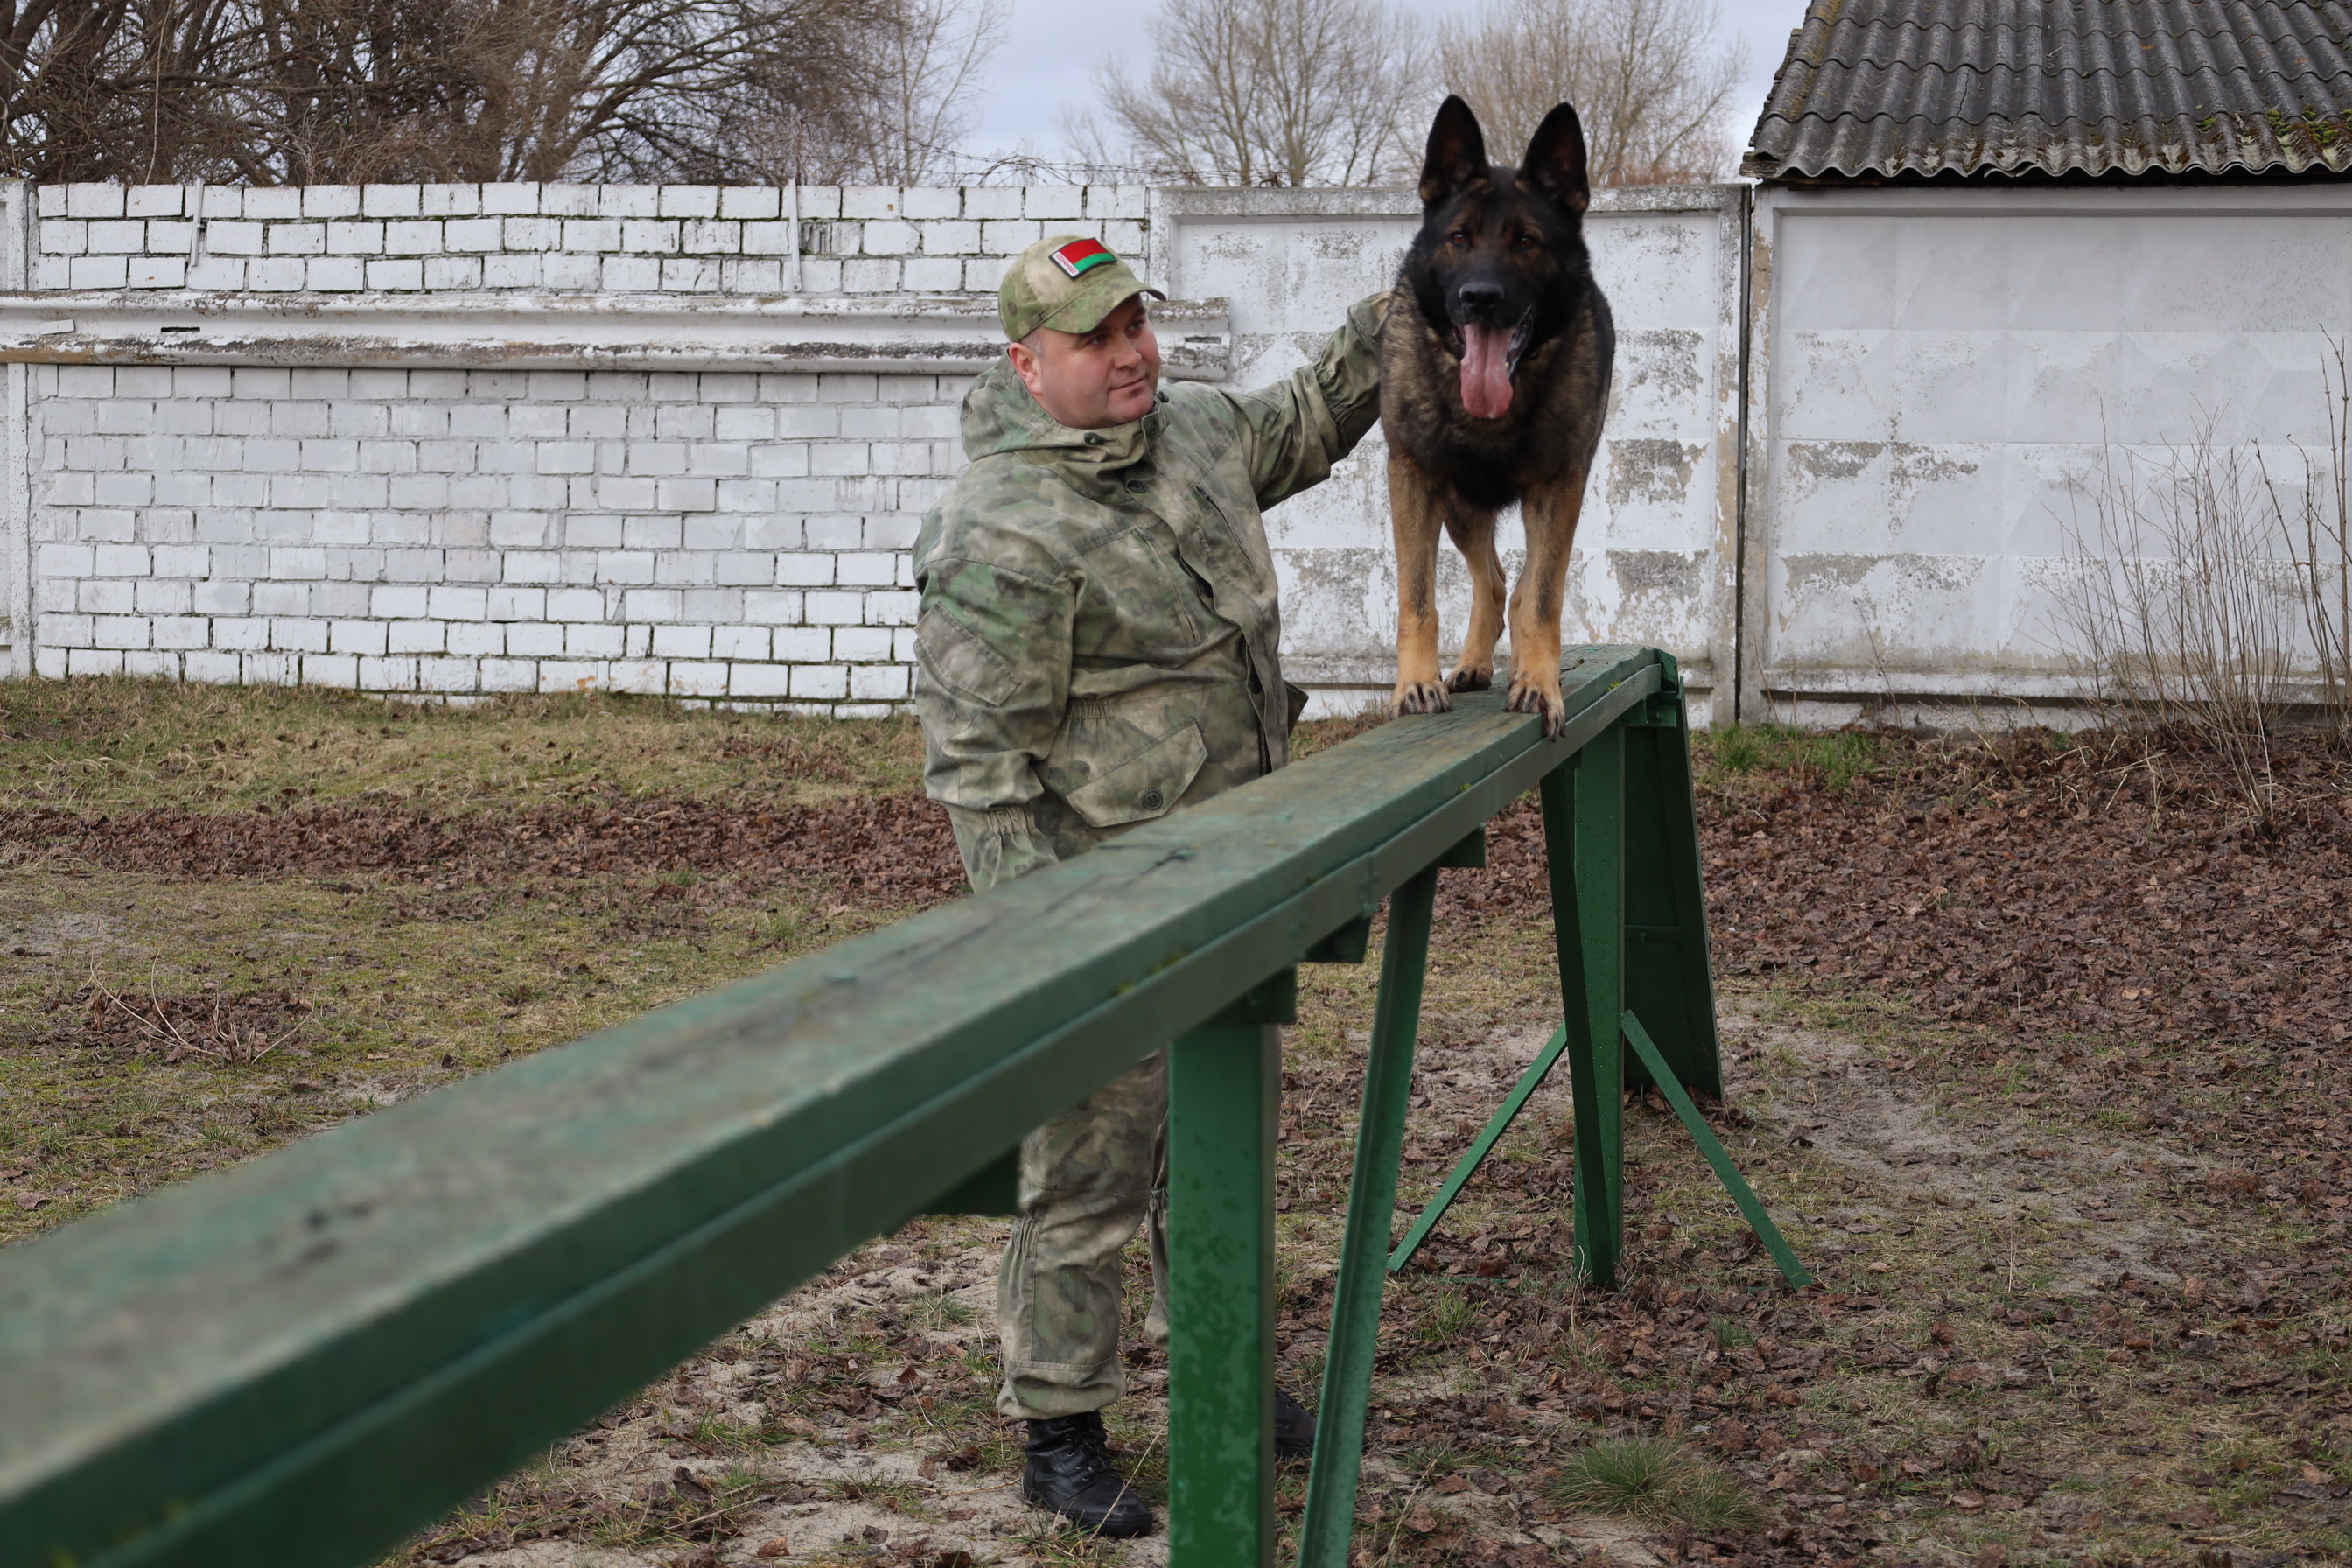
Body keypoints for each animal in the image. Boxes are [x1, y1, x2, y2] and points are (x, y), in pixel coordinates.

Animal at [1382, 94, 1608, 738]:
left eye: (1526, 242)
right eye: (1459, 237)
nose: (1479, 298)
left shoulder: (1558, 489)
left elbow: (1543, 600)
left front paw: (1539, 684)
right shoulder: (1414, 480)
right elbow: (1417, 598)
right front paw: (1417, 684)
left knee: (1521, 585)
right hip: (1461, 507)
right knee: (1494, 581)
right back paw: (1471, 665)